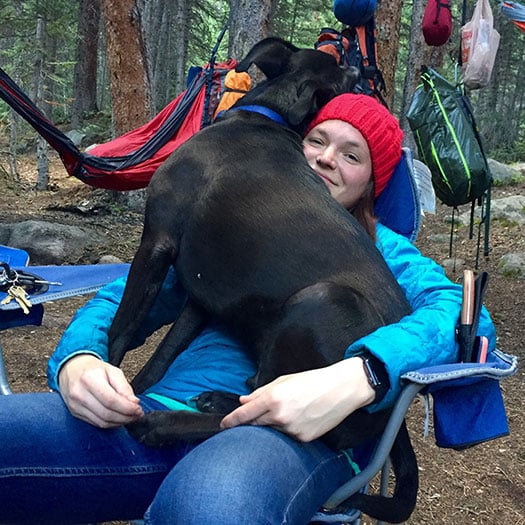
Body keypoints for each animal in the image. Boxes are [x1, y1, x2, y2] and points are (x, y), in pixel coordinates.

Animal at [107, 39, 418, 520]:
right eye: (345, 70)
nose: (366, 71)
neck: (268, 116)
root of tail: (391, 408)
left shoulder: (156, 242)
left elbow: (121, 330)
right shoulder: (202, 297)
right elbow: (164, 353)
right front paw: (137, 389)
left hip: (322, 301)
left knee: (276, 414)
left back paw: (164, 423)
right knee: (258, 392)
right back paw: (213, 399)